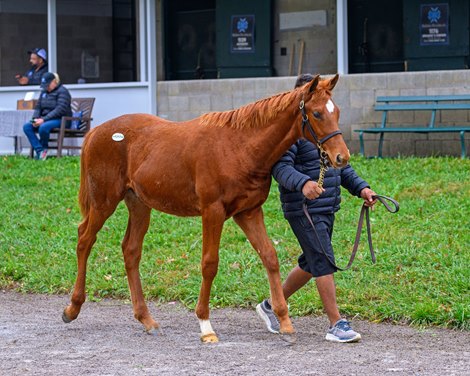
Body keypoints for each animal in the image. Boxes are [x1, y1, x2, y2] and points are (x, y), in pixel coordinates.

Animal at [61, 73, 348, 344]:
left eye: (337, 111)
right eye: (317, 113)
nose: (341, 157)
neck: (238, 147)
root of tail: (96, 132)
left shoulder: (248, 212)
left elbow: (269, 256)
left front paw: (284, 322)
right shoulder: (213, 212)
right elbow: (210, 264)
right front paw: (205, 325)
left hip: (139, 204)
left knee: (130, 250)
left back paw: (146, 319)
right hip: (104, 201)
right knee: (85, 239)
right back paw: (72, 308)